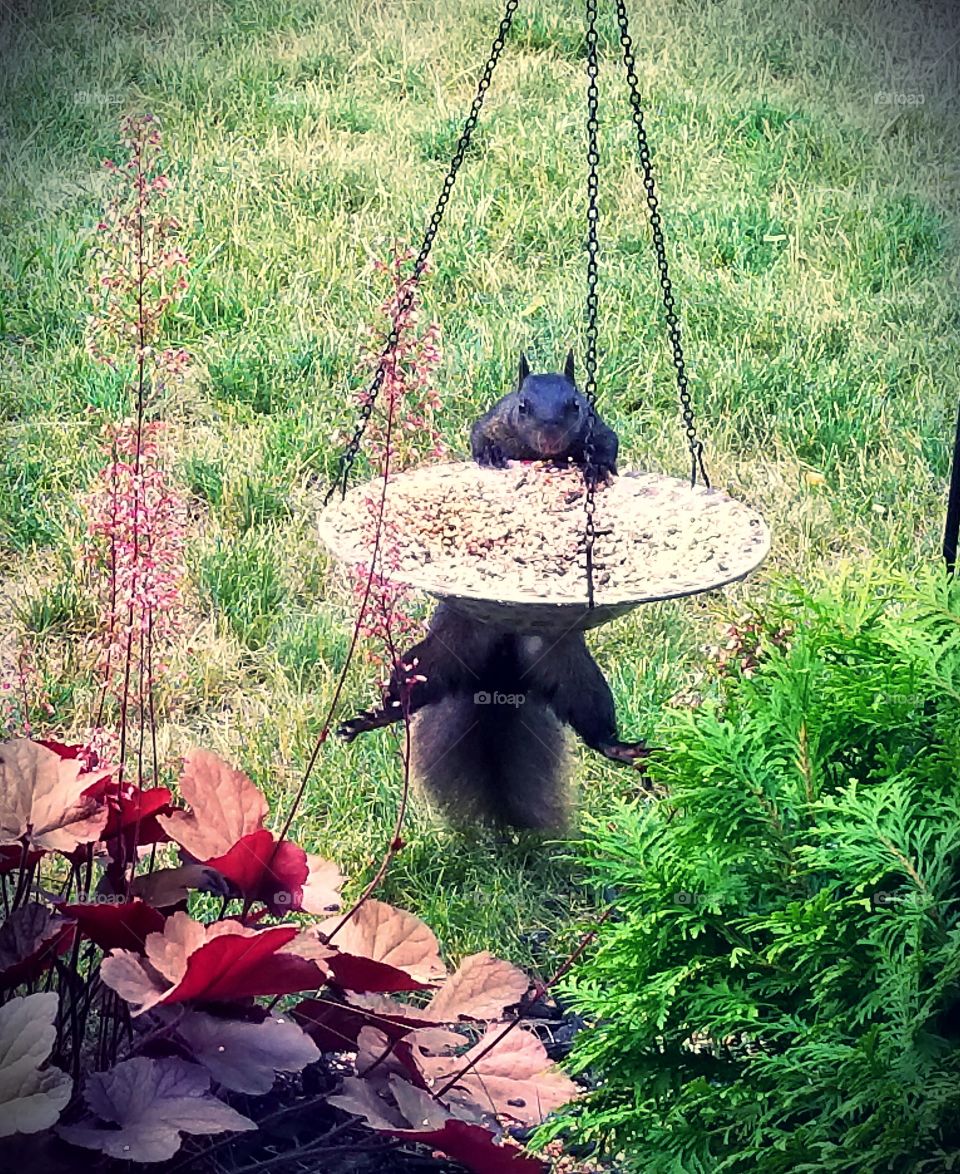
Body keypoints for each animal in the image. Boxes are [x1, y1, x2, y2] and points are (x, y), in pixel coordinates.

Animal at [337, 352, 650, 829]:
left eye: (576, 405)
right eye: (522, 406)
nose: (550, 438)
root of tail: (500, 676)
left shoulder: (598, 427)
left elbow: (609, 443)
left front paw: (596, 467)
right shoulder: (493, 420)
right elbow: (477, 435)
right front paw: (488, 454)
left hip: (573, 675)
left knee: (593, 721)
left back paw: (622, 749)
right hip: (434, 659)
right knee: (407, 696)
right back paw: (370, 719)